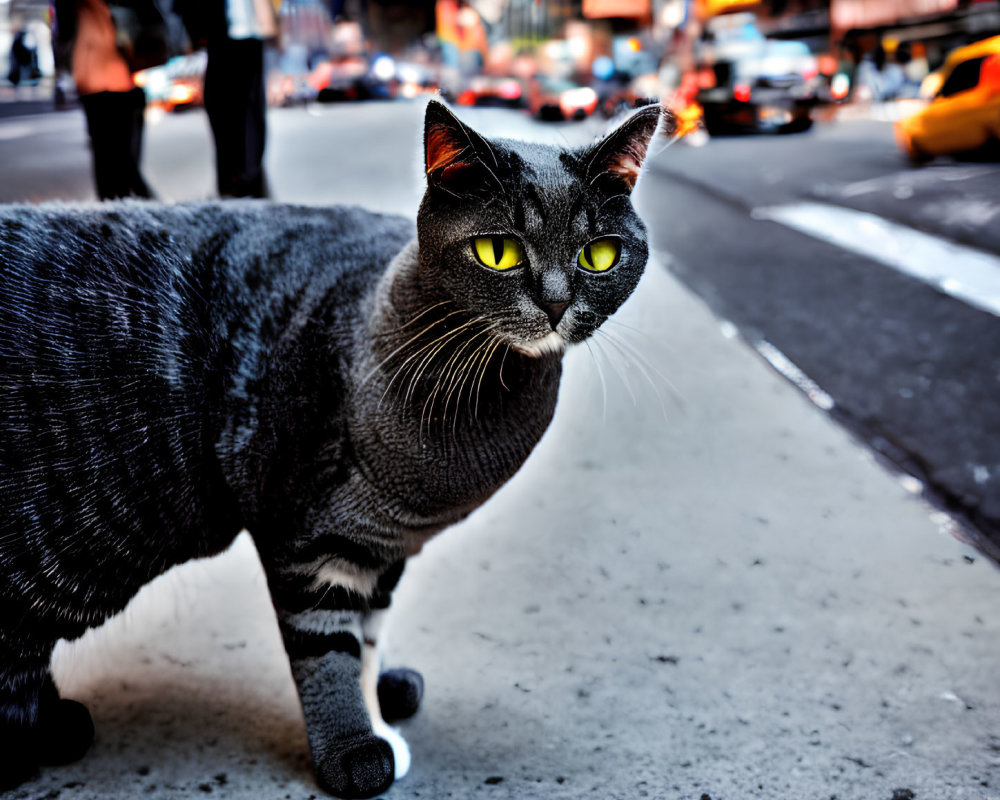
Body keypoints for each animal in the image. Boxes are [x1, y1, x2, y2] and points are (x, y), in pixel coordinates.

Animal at [0, 101, 664, 800]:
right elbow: (326, 649)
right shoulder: (306, 540)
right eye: (498, 252)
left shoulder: (383, 547)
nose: (558, 303)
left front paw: (380, 710)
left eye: (598, 255)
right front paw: (353, 747)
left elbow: (368, 635)